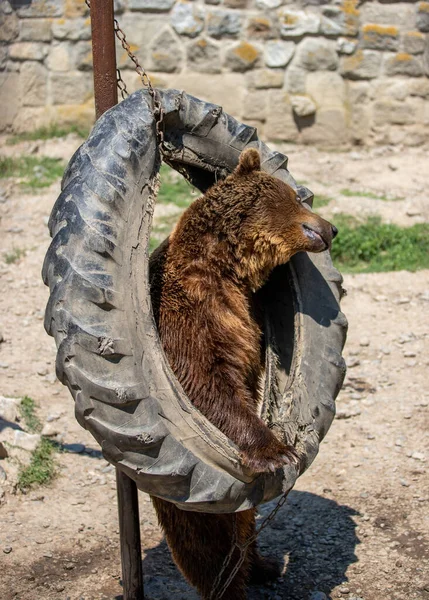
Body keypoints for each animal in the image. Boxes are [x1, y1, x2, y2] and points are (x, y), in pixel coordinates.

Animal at [149, 146, 336, 600]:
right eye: (298, 197)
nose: (333, 228)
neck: (225, 266)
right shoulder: (191, 316)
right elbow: (209, 383)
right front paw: (276, 450)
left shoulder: (247, 308)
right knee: (206, 540)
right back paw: (229, 582)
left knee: (242, 521)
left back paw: (263, 564)